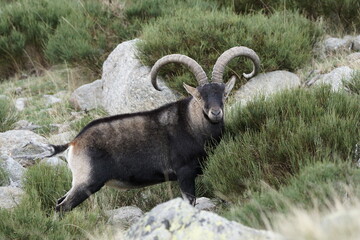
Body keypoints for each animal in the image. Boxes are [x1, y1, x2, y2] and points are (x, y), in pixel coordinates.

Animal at [45, 46, 260, 211]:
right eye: (199, 96)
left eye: (223, 93)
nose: (215, 113)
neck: (192, 124)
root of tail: (74, 142)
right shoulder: (185, 173)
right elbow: (190, 201)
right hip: (87, 182)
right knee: (62, 207)